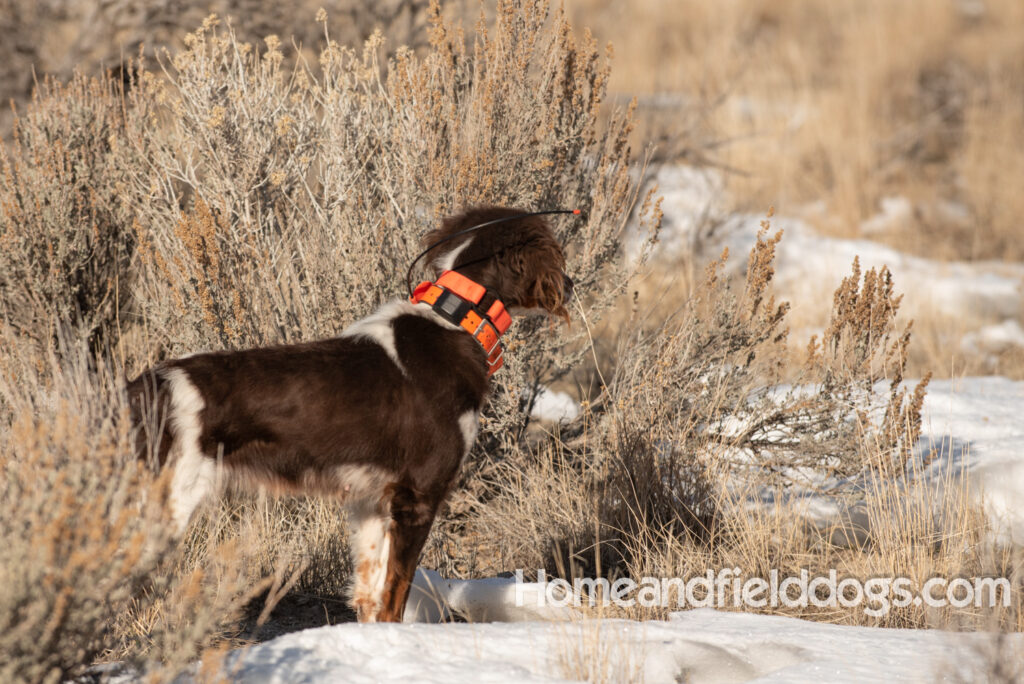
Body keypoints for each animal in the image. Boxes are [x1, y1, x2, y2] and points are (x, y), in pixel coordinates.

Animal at [126, 205, 573, 622]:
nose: (571, 284)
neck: (456, 320)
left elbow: (372, 594)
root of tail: (142, 386)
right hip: (165, 502)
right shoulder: (418, 497)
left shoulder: (371, 502)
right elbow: (396, 592)